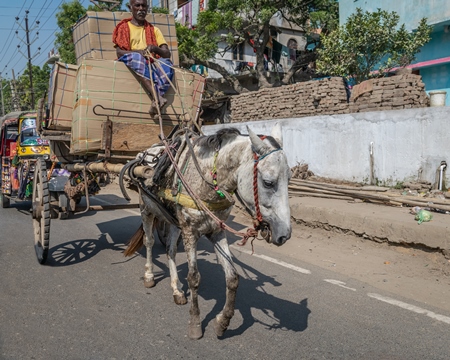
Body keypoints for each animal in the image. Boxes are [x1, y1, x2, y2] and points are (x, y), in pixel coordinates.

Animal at [124, 123, 292, 338]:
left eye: (289, 179)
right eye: (268, 182)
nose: (284, 234)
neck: (206, 181)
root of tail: (144, 154)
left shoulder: (217, 232)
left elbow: (232, 277)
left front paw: (222, 322)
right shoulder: (190, 232)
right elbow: (194, 278)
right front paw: (195, 324)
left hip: (173, 221)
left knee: (170, 250)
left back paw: (176, 290)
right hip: (146, 209)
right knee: (149, 242)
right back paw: (149, 276)